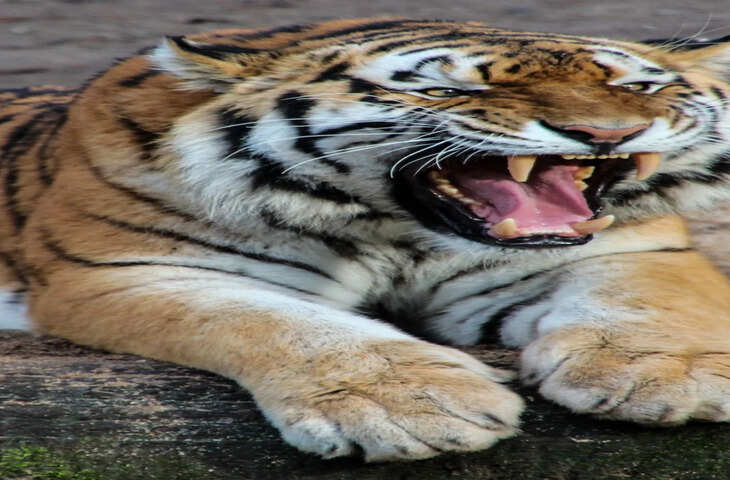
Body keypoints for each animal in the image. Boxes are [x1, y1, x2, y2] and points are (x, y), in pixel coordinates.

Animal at [1, 18, 730, 462]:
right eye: (447, 90)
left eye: (640, 86)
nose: (608, 134)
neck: (398, 230)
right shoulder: (127, 266)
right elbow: (278, 321)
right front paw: (409, 405)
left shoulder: (629, 249)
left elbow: (649, 300)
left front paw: (663, 375)